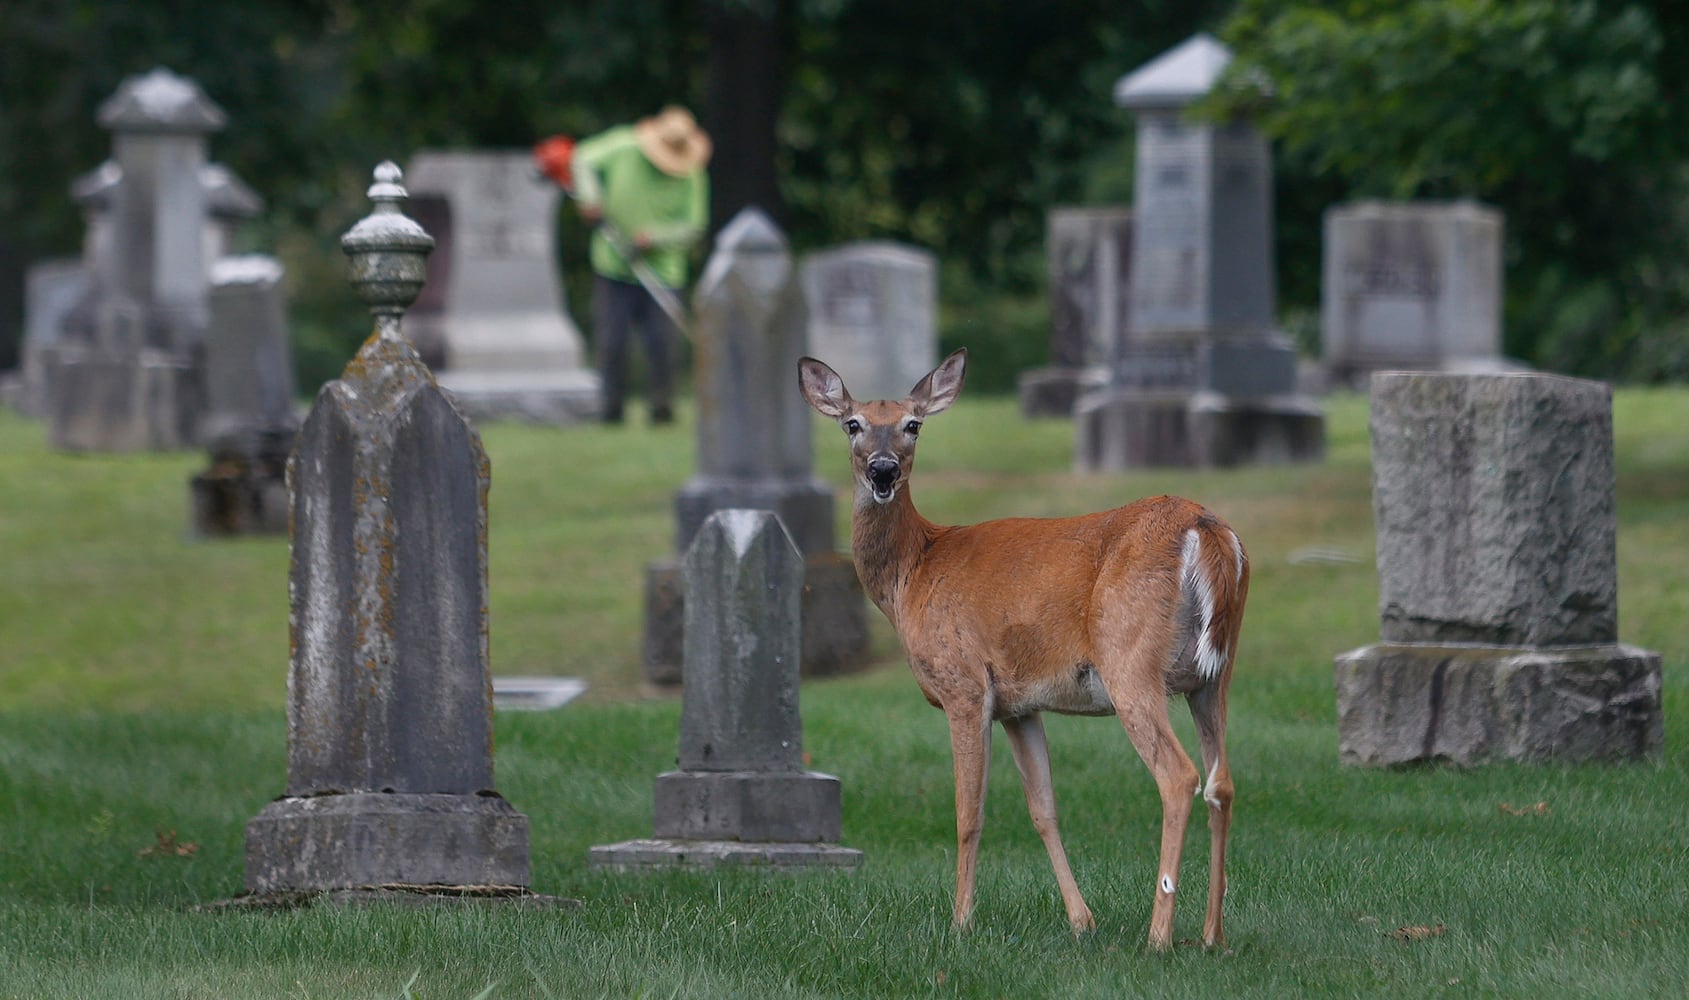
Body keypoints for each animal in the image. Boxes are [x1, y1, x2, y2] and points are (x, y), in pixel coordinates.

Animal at [798, 348, 1248, 952]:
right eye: (853, 424)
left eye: (914, 424)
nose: (884, 470)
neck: (912, 573)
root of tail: (1206, 529)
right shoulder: (1020, 703)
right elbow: (1043, 809)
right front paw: (1082, 920)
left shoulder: (964, 684)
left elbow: (969, 812)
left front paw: (960, 921)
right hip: (1214, 675)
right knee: (1222, 782)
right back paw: (1212, 935)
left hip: (1130, 658)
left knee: (1177, 777)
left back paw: (1158, 936)